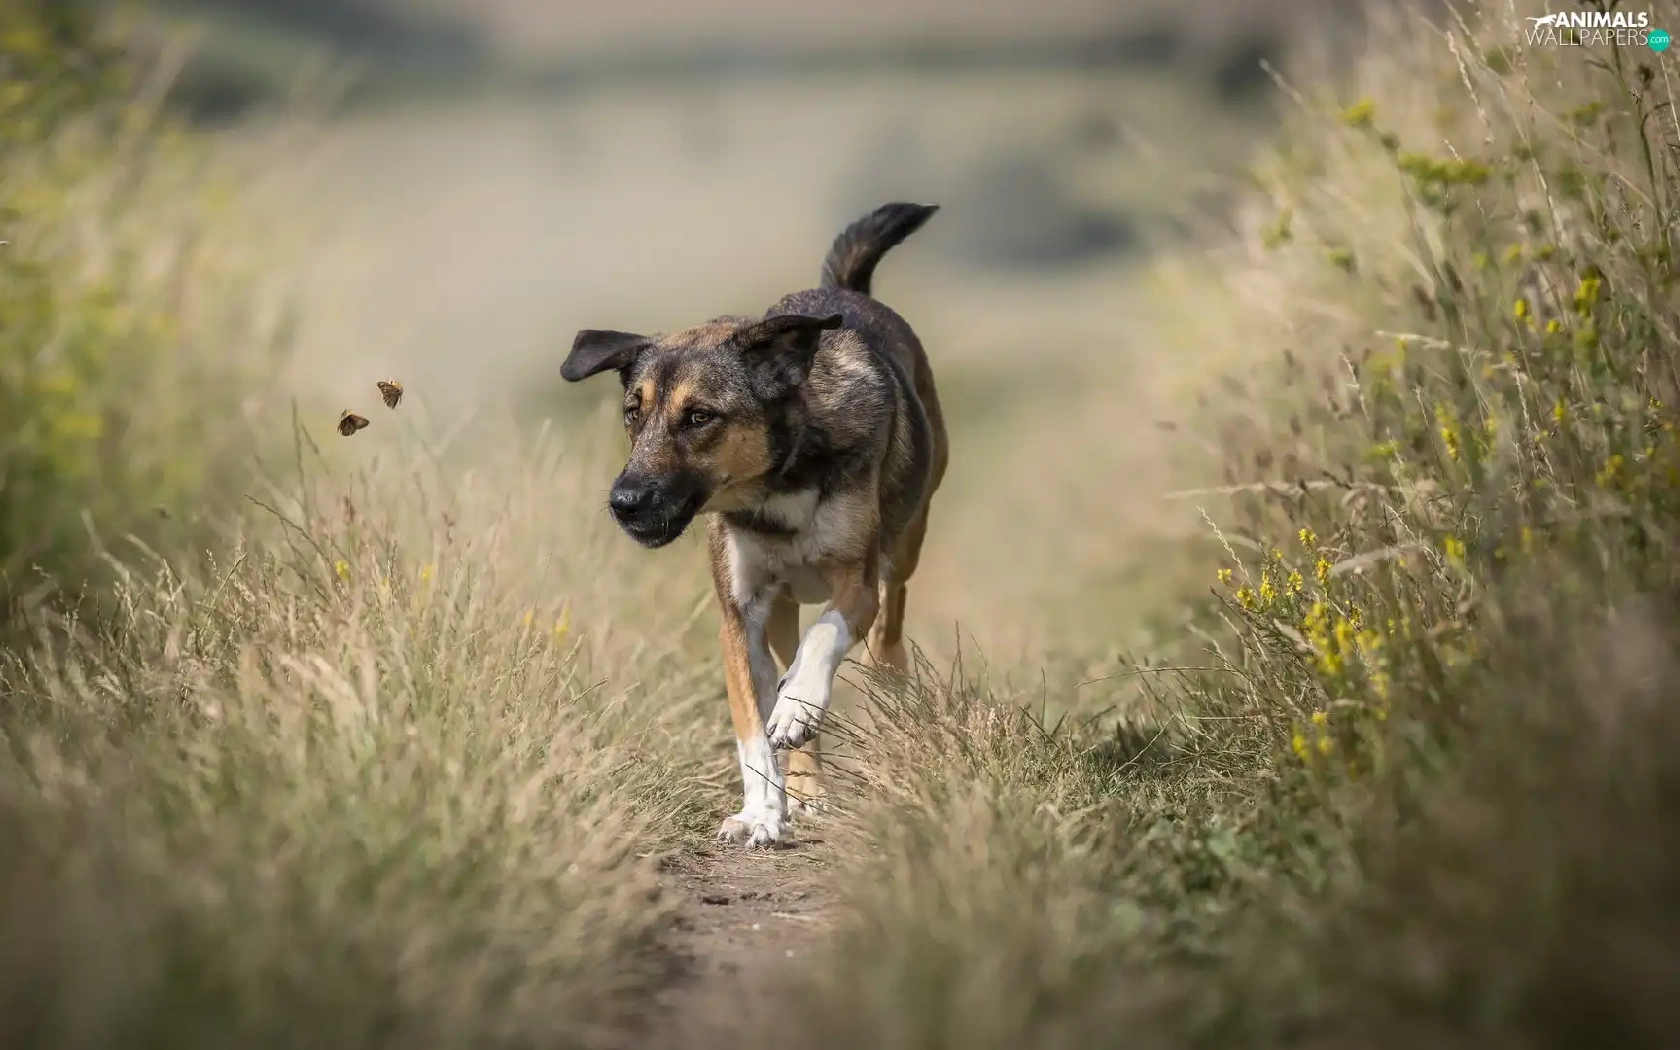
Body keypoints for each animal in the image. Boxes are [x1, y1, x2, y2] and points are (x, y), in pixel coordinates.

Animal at [560, 202, 948, 848]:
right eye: (633, 413)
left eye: (699, 417)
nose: (624, 501)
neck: (776, 488)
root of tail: (845, 291)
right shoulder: (738, 616)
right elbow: (751, 730)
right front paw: (763, 811)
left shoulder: (856, 580)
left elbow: (825, 638)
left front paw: (798, 704)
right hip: (782, 609)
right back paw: (806, 787)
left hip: (904, 551)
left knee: (885, 633)